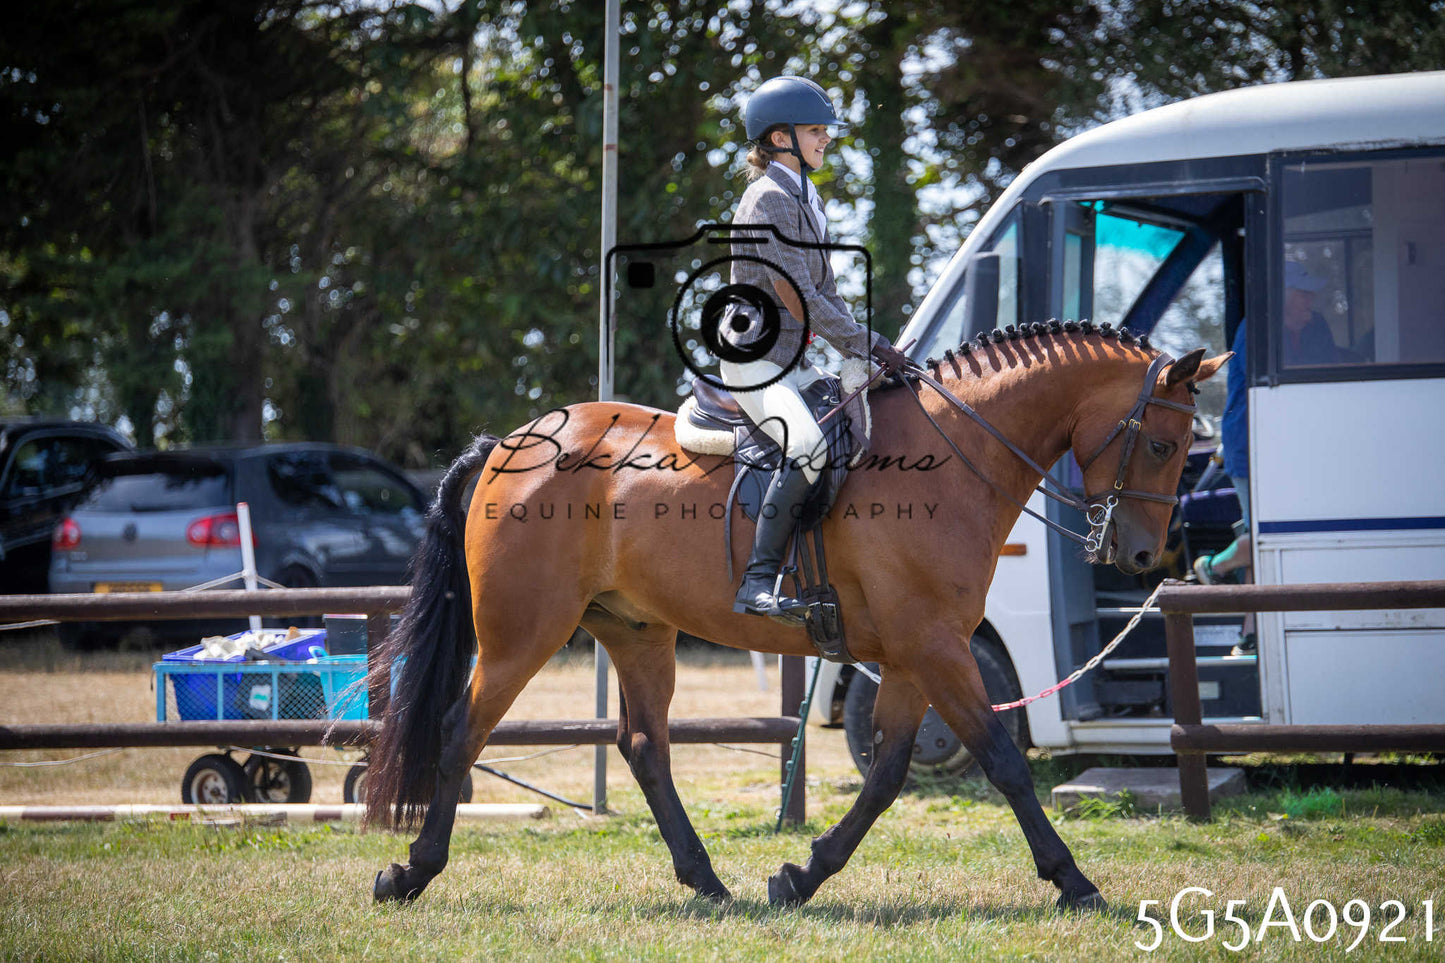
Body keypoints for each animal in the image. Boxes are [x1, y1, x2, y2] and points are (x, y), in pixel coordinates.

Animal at [365, 322, 1228, 910]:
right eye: (1161, 443)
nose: (1141, 555)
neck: (956, 458)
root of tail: (511, 441)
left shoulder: (913, 654)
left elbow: (885, 774)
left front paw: (799, 875)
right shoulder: (937, 647)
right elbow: (1001, 758)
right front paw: (1073, 879)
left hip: (637, 631)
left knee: (643, 745)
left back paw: (708, 880)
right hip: (523, 632)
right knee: (461, 730)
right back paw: (410, 871)